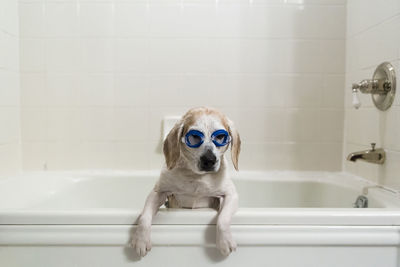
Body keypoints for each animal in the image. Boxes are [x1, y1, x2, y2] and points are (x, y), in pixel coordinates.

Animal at [130, 107, 241, 258]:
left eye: (220, 137)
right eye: (194, 136)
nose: (209, 160)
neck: (196, 177)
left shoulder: (231, 195)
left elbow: (223, 219)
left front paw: (225, 241)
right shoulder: (158, 192)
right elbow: (144, 217)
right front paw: (141, 240)